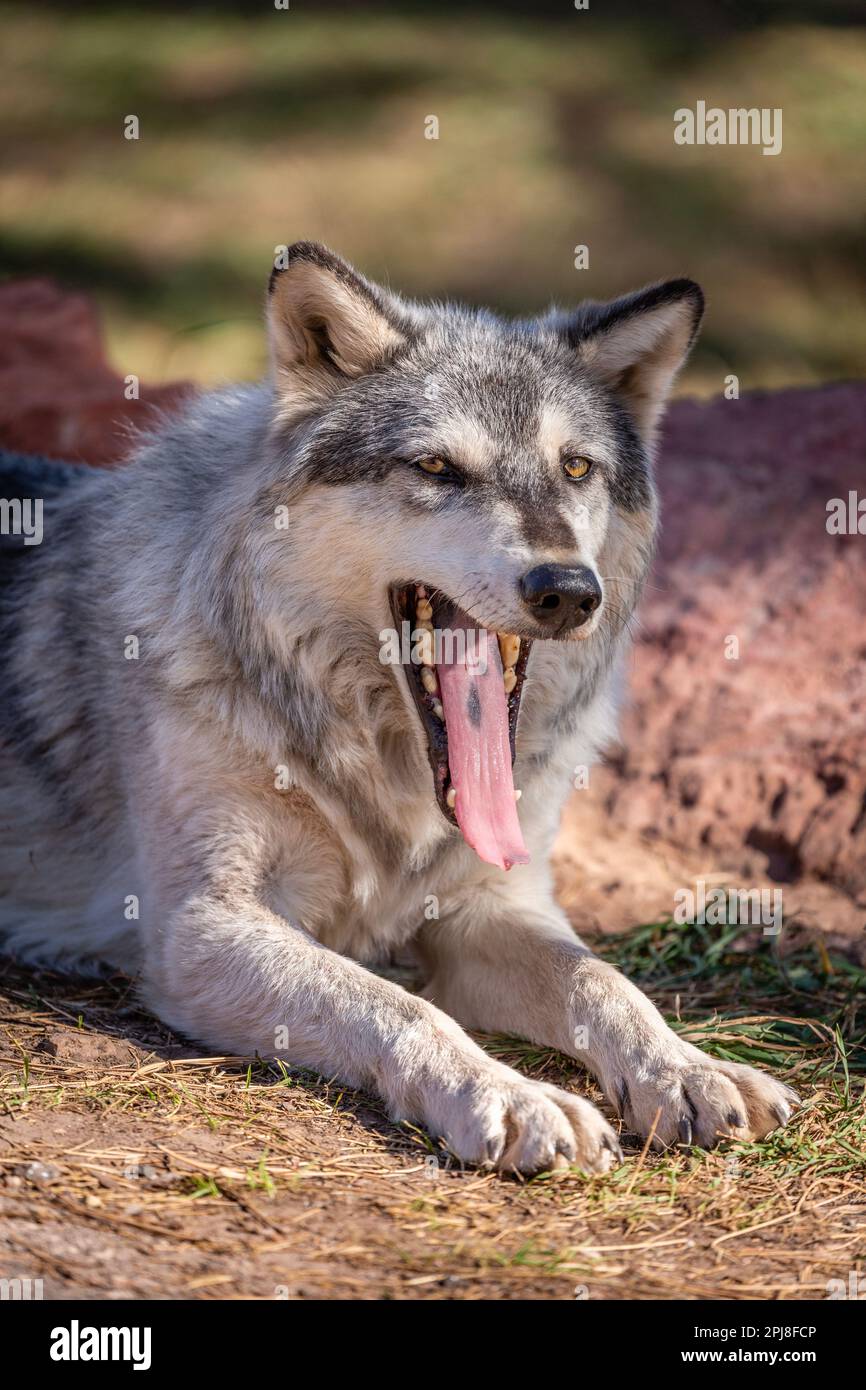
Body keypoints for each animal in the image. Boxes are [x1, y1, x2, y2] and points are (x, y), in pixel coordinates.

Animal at [0, 247, 800, 1173]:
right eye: (436, 469)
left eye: (575, 468)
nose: (567, 590)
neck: (382, 770)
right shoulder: (203, 926)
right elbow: (401, 1005)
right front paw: (514, 1095)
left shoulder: (491, 906)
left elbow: (601, 979)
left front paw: (688, 1068)